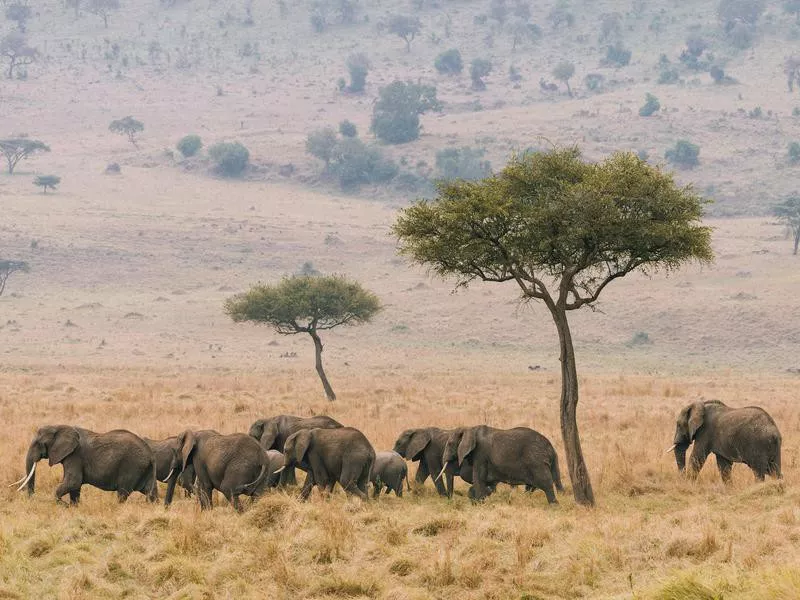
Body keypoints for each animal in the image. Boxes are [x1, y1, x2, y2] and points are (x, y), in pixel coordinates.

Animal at [15, 424, 158, 504]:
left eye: (38, 443)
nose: (31, 499)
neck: (59, 426)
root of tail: (150, 454)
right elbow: (74, 486)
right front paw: (72, 506)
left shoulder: (75, 455)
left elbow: (73, 482)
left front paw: (61, 503)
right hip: (146, 469)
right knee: (151, 492)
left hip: (131, 466)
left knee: (123, 492)